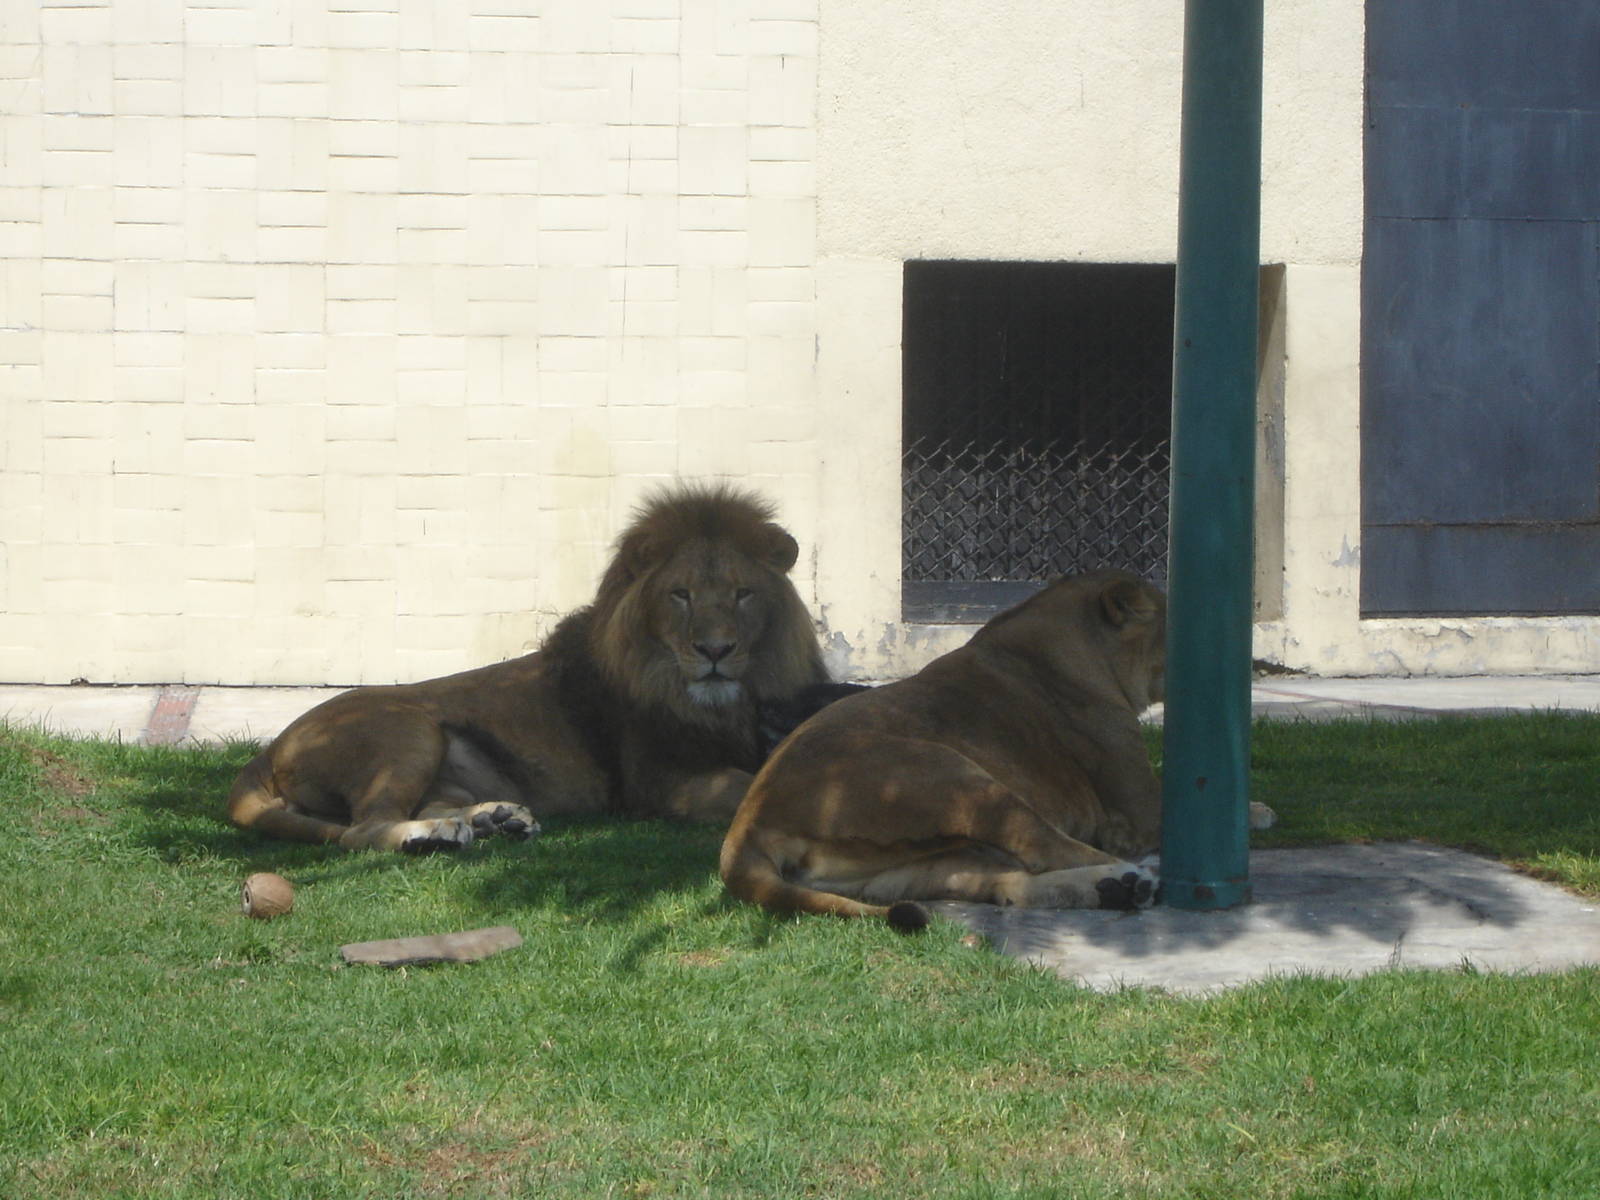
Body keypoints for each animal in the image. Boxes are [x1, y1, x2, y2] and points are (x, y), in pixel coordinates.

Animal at [227, 484, 831, 852]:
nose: (715, 651)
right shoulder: (664, 783)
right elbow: (752, 786)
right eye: (680, 595)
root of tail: (267, 752)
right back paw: (433, 835)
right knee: (362, 829)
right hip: (407, 728)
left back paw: (492, 819)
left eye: (743, 594)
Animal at [720, 569, 1178, 931]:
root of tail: (747, 822)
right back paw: (1131, 875)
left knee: (1008, 886)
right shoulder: (1140, 807)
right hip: (952, 775)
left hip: (910, 869)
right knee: (1042, 845)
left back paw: (1118, 890)